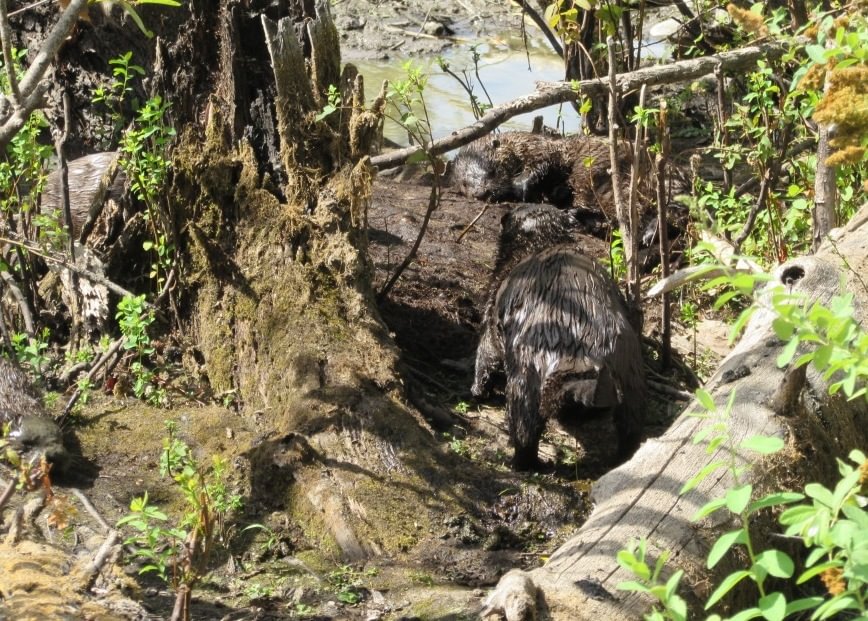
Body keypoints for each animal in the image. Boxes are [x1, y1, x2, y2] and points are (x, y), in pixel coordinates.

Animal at [451, 132, 631, 220]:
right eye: (464, 183)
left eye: (492, 171)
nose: (481, 193)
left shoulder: (544, 151)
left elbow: (541, 167)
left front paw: (520, 187)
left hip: (588, 168)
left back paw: (572, 213)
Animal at [472, 205, 645, 470]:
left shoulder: (491, 312)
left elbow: (485, 356)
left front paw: (476, 390)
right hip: (631, 375)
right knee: (632, 430)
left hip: (525, 377)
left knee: (525, 429)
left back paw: (522, 462)